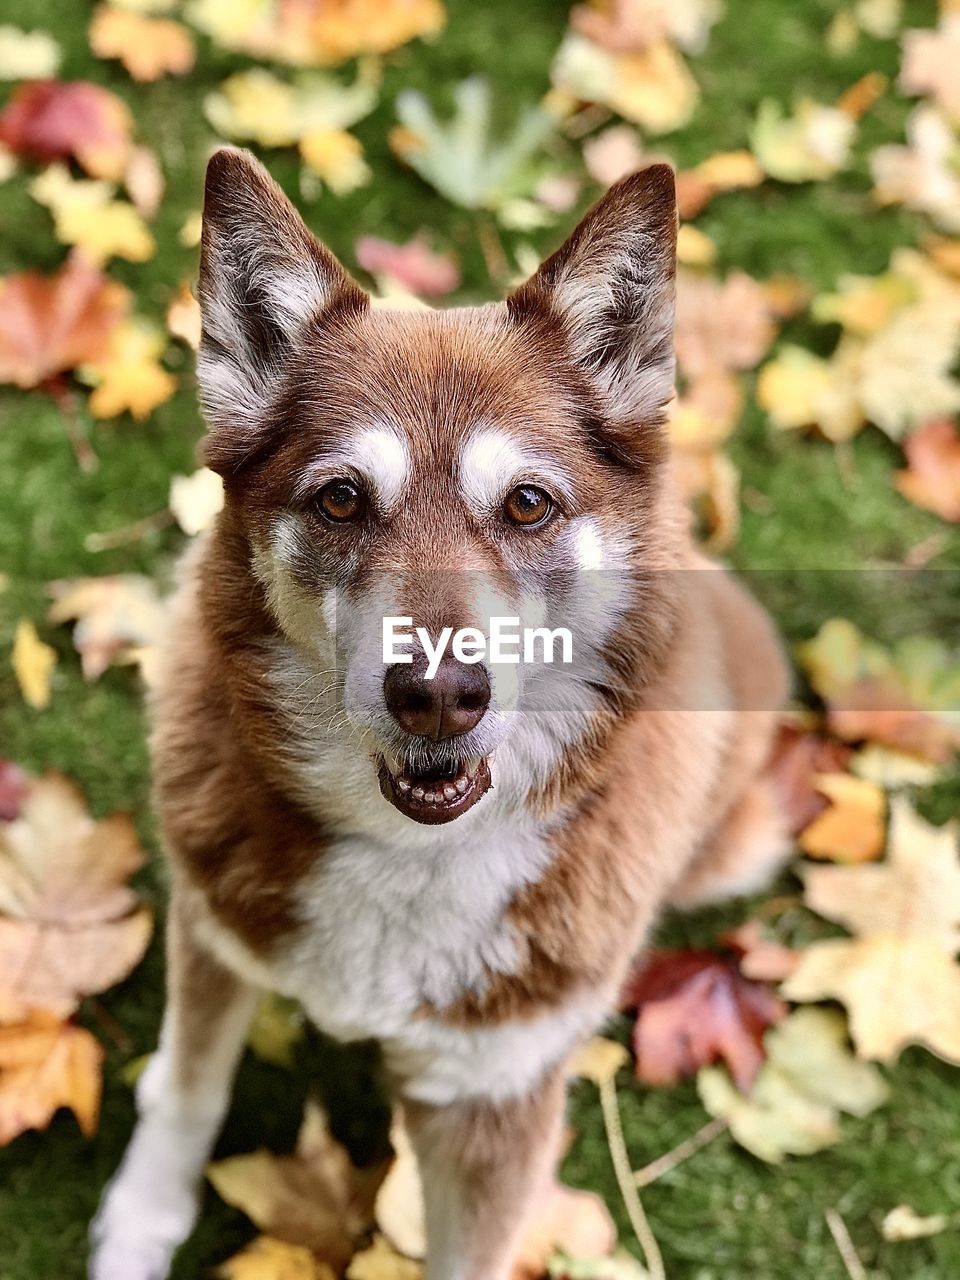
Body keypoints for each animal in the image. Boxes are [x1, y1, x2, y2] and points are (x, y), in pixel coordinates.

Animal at [90, 147, 793, 1280]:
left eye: (528, 503)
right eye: (339, 498)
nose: (437, 693)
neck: (408, 857)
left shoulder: (492, 1102)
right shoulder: (213, 932)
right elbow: (190, 1091)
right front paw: (141, 1222)